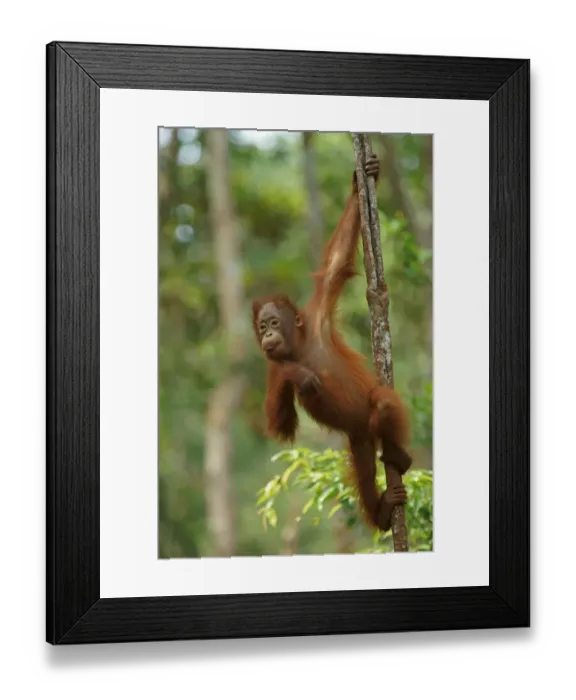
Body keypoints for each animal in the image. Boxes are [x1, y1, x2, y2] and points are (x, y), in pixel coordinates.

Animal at [252, 153, 412, 533]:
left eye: (274, 322)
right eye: (262, 326)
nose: (267, 335)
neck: (299, 346)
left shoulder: (318, 313)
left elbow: (336, 264)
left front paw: (360, 181)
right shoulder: (270, 369)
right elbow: (279, 424)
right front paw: (297, 375)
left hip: (369, 421)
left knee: (384, 404)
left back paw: (400, 456)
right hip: (358, 439)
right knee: (365, 472)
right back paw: (382, 512)